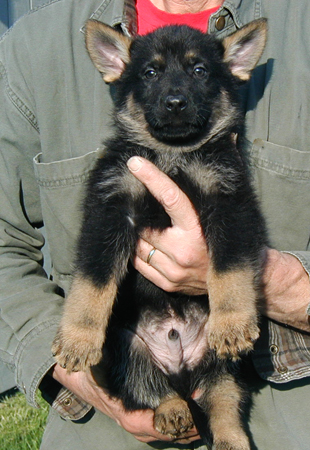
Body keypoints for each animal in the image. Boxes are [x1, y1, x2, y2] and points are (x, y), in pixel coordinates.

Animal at [52, 19, 268, 448]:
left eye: (199, 71)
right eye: (150, 73)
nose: (175, 103)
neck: (173, 155)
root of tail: (181, 364)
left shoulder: (229, 205)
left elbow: (230, 270)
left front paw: (233, 322)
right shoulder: (111, 210)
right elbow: (91, 283)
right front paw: (78, 339)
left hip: (224, 366)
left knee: (223, 400)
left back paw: (229, 437)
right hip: (127, 347)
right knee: (148, 387)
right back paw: (172, 410)